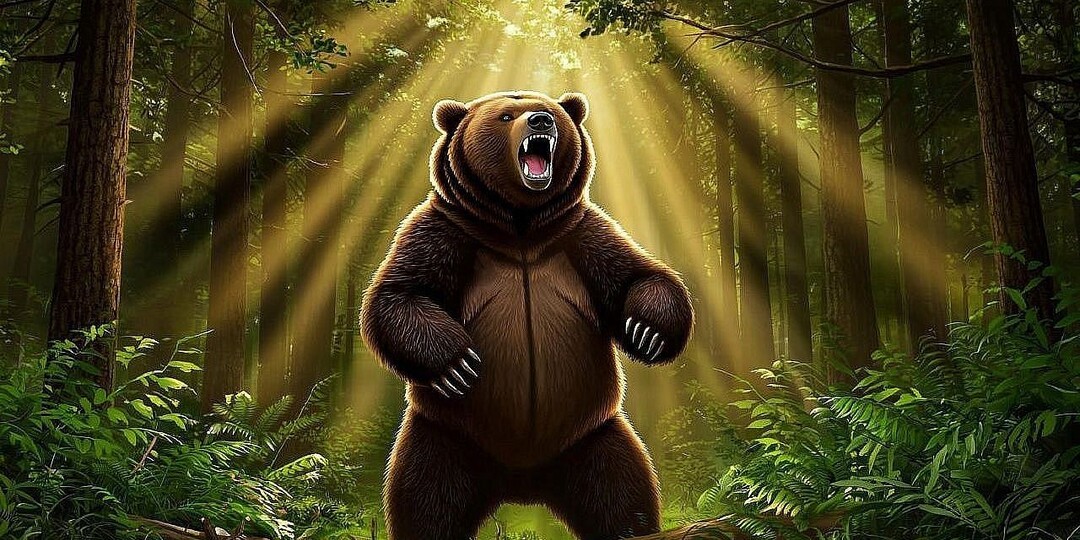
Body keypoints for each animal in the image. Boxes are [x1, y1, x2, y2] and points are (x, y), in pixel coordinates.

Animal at [360, 90, 694, 540]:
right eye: (505, 115)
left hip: (595, 439)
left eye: (552, 113)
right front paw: (457, 363)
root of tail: (521, 484)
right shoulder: (442, 229)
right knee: (428, 503)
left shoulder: (582, 233)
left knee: (622, 498)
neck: (520, 228)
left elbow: (638, 273)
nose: (540, 121)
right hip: (444, 439)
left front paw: (646, 331)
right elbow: (399, 293)